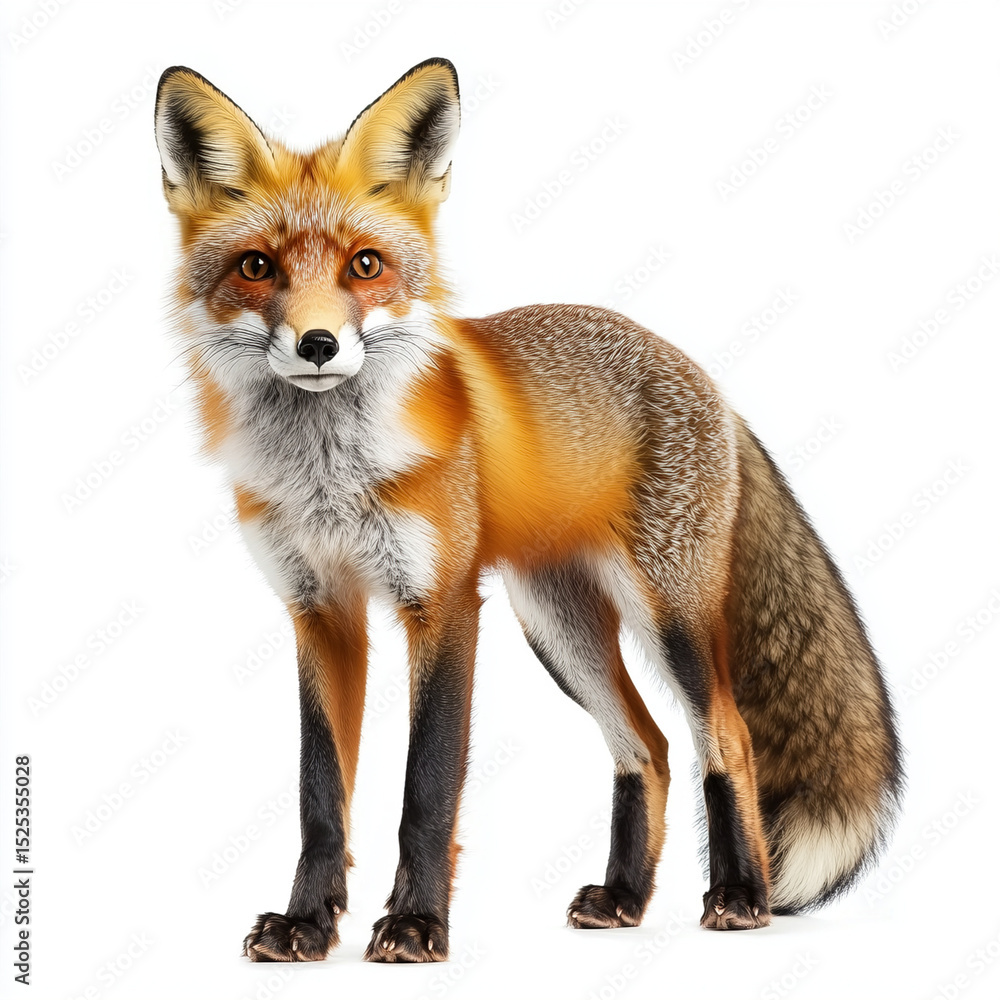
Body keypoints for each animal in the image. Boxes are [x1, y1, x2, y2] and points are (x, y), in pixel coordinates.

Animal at [154, 58, 903, 963]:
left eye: (366, 266)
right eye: (257, 268)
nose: (319, 345)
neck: (328, 474)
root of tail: (704, 378)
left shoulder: (442, 603)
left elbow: (426, 789)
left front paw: (416, 926)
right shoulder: (320, 610)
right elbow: (319, 796)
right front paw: (305, 924)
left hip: (669, 615)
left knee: (726, 733)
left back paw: (739, 895)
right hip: (556, 626)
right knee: (647, 747)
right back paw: (624, 899)